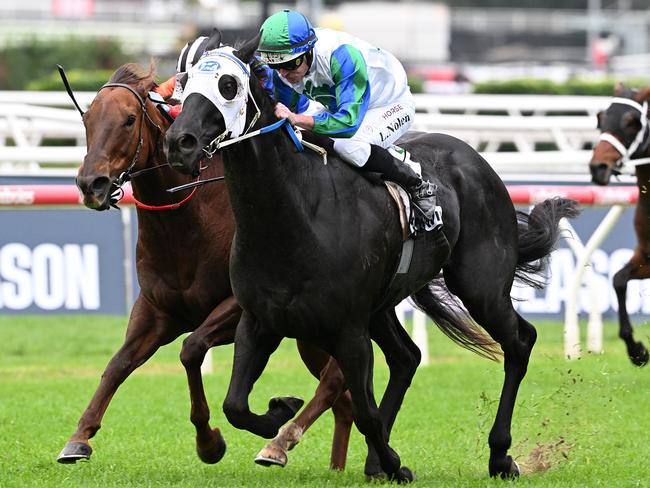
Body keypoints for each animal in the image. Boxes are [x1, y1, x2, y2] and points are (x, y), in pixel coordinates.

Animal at [57, 63, 354, 468]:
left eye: (129, 120)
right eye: (87, 118)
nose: (92, 184)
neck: (188, 222)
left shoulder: (239, 308)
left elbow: (191, 348)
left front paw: (211, 441)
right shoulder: (156, 309)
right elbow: (119, 363)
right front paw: (79, 437)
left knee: (335, 382)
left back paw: (280, 443)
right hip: (310, 334)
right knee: (346, 401)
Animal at [165, 32, 580, 482]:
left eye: (228, 85)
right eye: (184, 82)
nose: (179, 142)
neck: (294, 219)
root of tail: (475, 159)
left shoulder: (348, 331)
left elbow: (364, 413)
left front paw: (396, 464)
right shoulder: (259, 321)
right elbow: (236, 405)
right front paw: (280, 414)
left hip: (480, 286)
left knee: (519, 341)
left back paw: (500, 455)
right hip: (382, 306)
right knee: (407, 358)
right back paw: (376, 461)